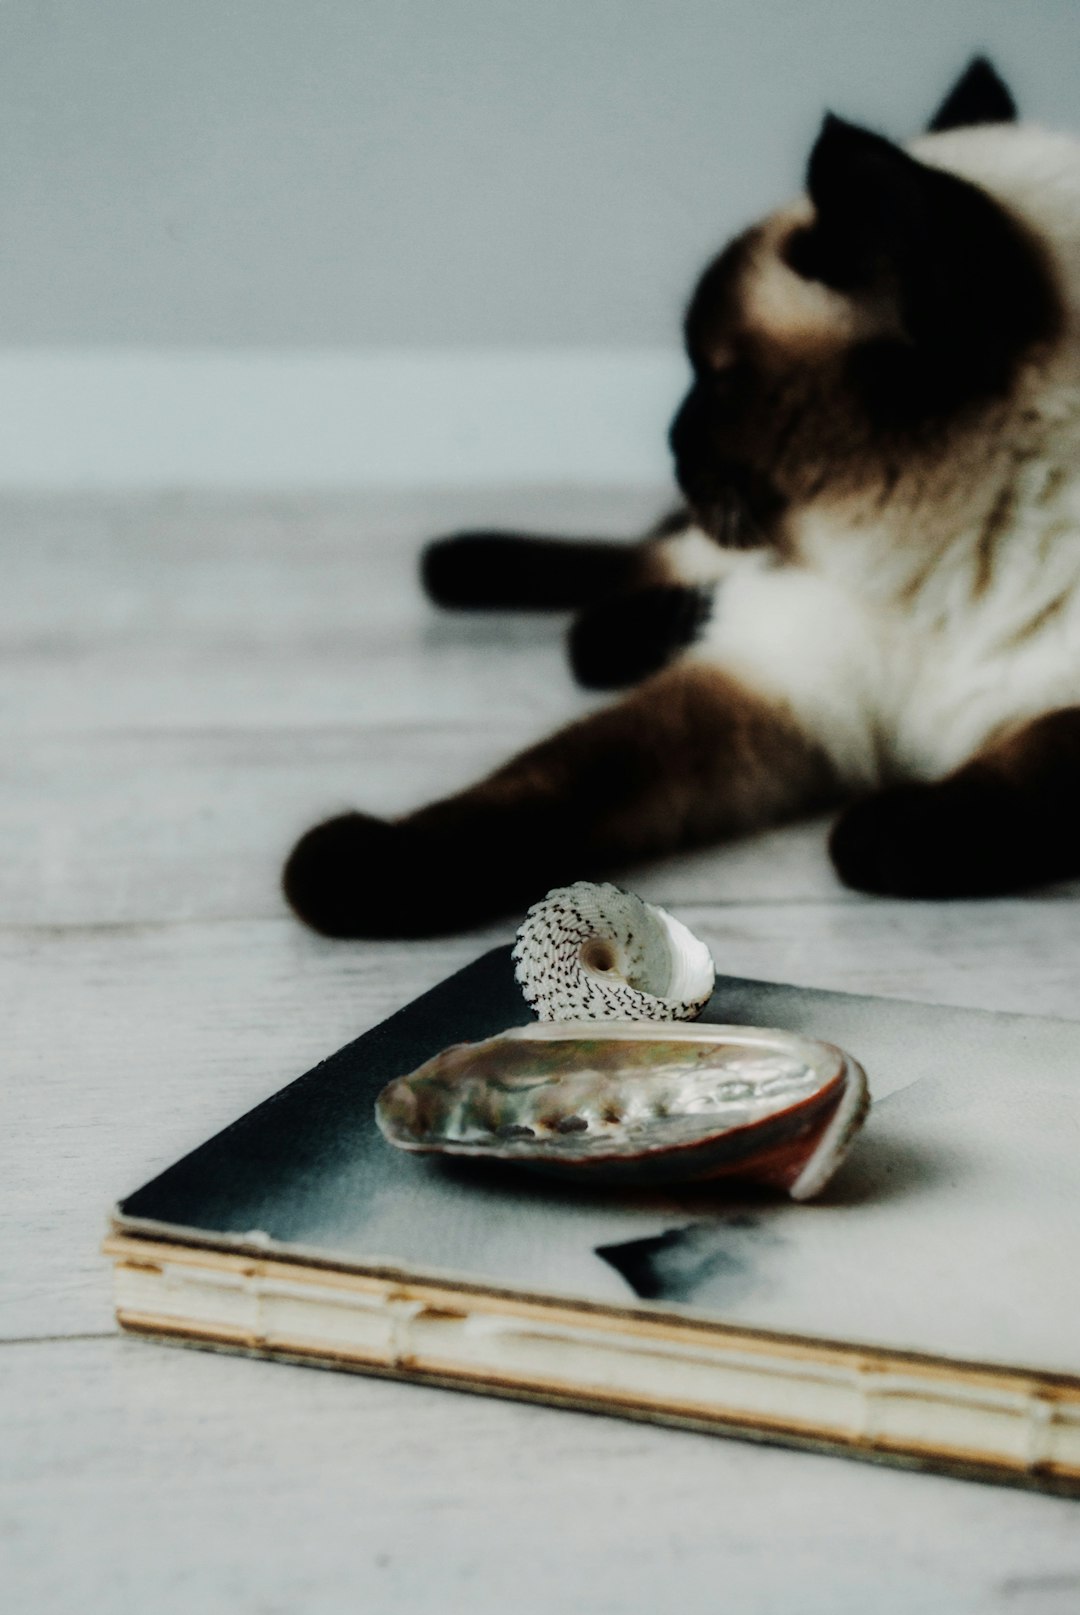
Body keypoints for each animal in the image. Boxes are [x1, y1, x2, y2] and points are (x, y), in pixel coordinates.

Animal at [285, 62, 1080, 943]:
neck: (920, 580)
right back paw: (469, 570)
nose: (669, 439)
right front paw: (349, 872)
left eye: (719, 380)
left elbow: (945, 817)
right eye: (697, 369)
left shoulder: (1046, 720)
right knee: (657, 554)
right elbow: (547, 779)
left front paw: (878, 823)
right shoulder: (775, 684)